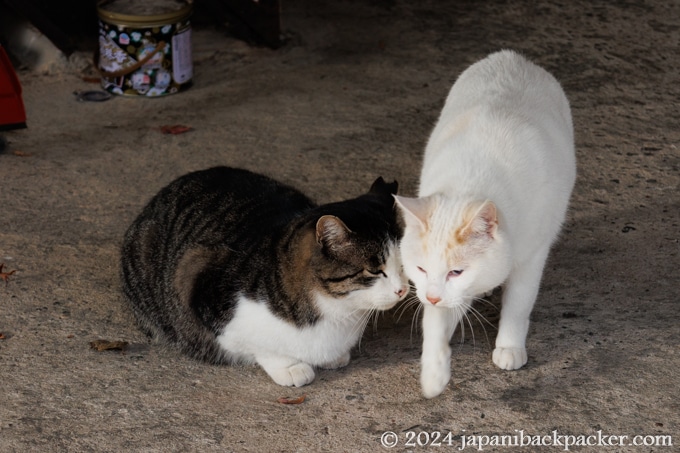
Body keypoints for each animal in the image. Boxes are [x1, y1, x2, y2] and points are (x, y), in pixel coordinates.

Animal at [121, 168, 410, 386]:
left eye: (404, 265)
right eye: (375, 270)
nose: (403, 290)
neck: (339, 313)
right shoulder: (202, 288)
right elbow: (261, 347)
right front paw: (291, 367)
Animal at [396, 48, 576, 396]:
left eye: (457, 272)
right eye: (420, 268)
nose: (433, 296)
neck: (470, 183)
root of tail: (513, 57)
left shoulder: (532, 255)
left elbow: (519, 301)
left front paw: (509, 346)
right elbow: (435, 323)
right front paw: (434, 372)